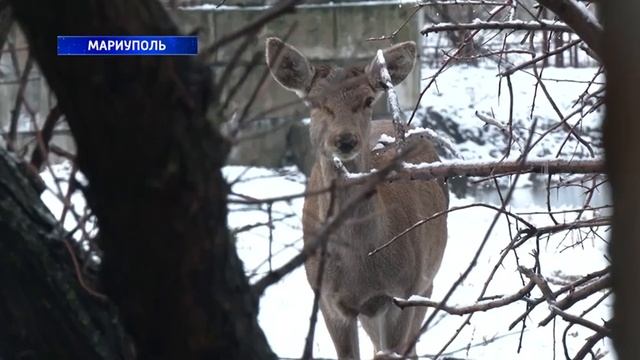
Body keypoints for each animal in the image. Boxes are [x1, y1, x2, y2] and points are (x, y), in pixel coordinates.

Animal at [266, 37, 450, 360]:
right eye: (315, 101)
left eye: (367, 100)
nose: (345, 139)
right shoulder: (328, 300)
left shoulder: (401, 291)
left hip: (426, 279)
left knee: (410, 345)